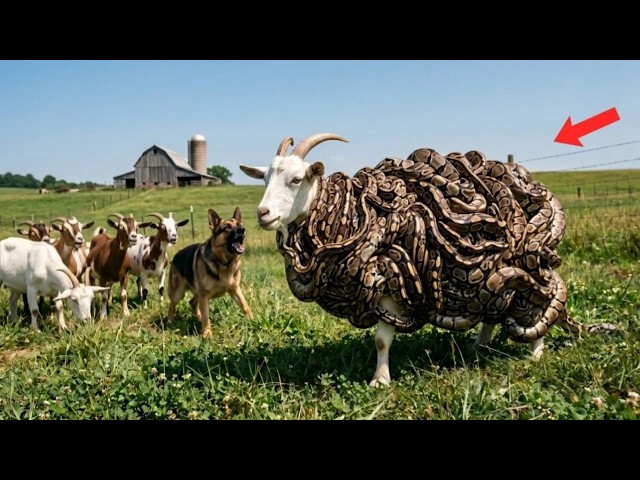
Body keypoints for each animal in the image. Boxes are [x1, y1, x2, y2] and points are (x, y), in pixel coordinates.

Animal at [240, 133, 617, 387]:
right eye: (264, 179)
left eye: (296, 179)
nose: (262, 213)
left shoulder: (388, 285)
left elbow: (382, 339)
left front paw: (379, 381)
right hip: (498, 277)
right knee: (496, 305)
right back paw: (480, 345)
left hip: (533, 266)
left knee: (539, 302)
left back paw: (536, 352)